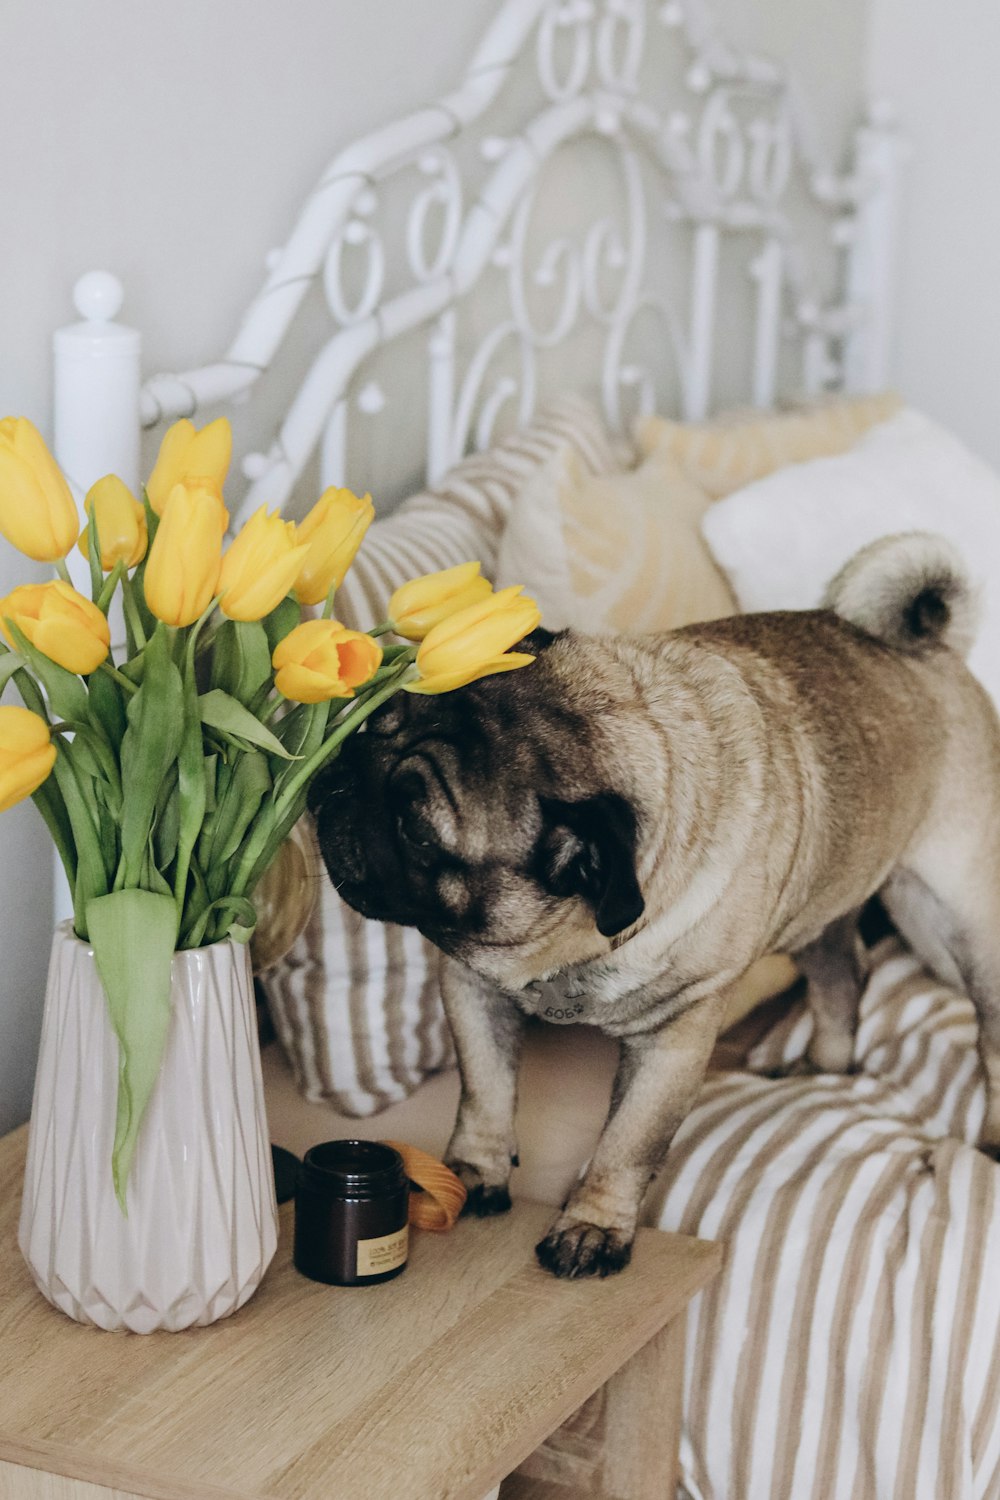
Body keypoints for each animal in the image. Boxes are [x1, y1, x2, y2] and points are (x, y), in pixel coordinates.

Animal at [308, 534, 1000, 1272]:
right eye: (369, 728)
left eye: (415, 828)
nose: (340, 779)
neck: (567, 944)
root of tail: (931, 647)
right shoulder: (473, 989)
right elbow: (484, 1094)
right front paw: (471, 1175)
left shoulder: (674, 1039)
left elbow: (627, 1144)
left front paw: (592, 1228)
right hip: (821, 898)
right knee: (842, 976)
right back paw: (820, 1066)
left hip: (960, 921)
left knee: (984, 1035)